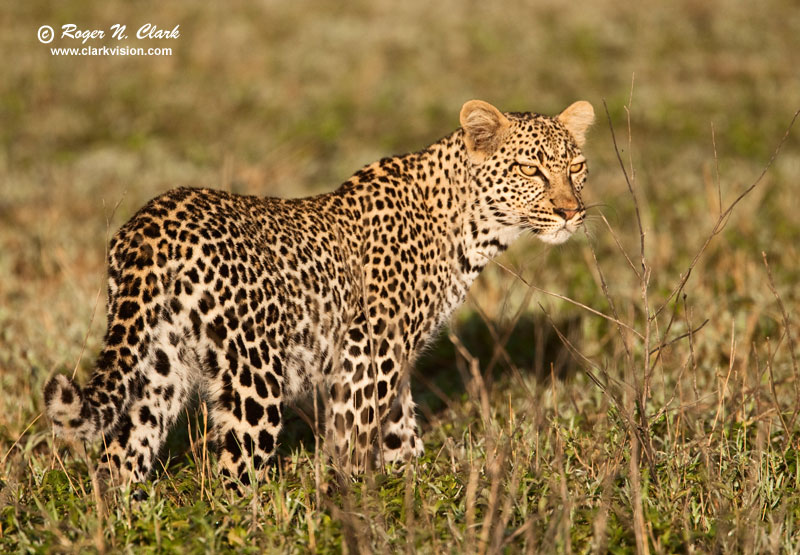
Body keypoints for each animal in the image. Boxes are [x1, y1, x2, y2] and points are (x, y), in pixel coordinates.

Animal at [43, 97, 592, 488]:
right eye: (530, 169)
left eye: (577, 167)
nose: (571, 212)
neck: (471, 227)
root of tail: (151, 221)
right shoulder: (369, 352)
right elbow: (355, 435)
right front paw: (353, 500)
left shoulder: (390, 358)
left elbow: (400, 427)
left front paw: (411, 486)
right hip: (255, 375)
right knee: (235, 472)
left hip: (157, 364)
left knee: (120, 456)